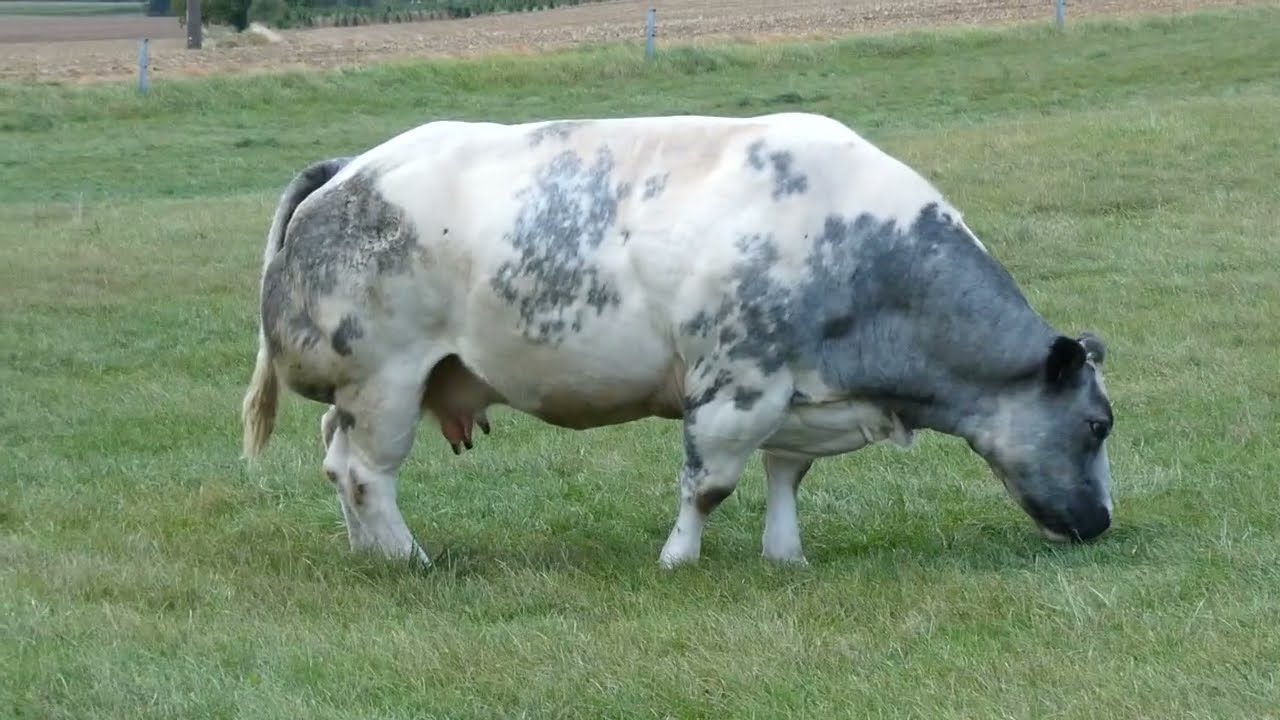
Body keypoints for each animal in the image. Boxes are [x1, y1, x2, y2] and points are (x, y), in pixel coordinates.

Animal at [240, 112, 1116, 569]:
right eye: (1098, 424)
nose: (1103, 521)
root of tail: (351, 166)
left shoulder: (794, 394)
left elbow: (785, 474)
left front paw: (785, 555)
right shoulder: (735, 385)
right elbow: (709, 483)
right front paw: (679, 559)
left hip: (374, 389)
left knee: (334, 458)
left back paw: (367, 553)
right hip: (383, 380)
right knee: (366, 473)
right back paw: (406, 558)